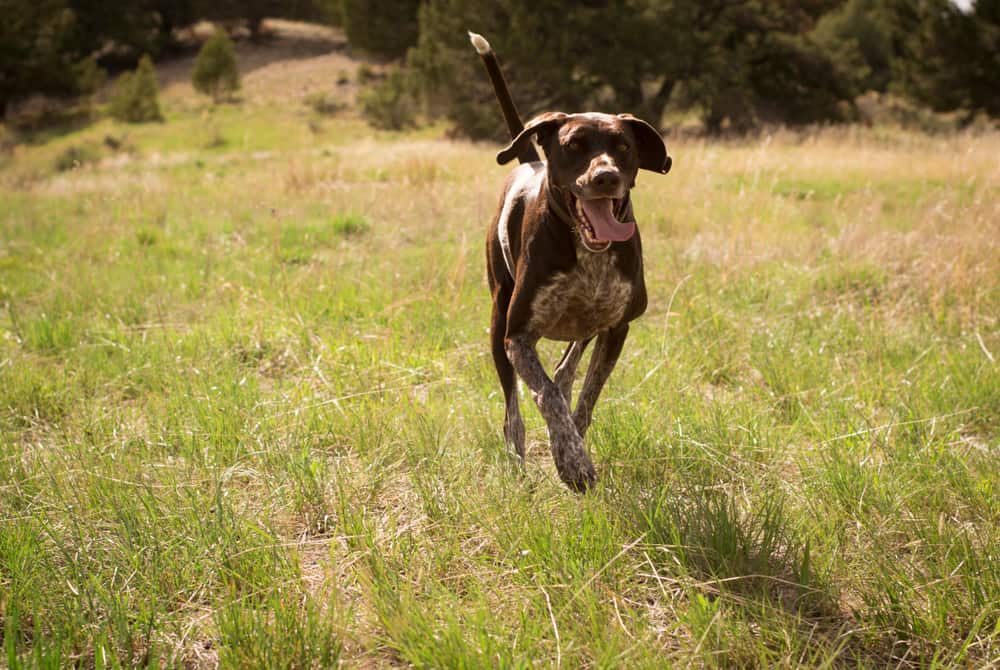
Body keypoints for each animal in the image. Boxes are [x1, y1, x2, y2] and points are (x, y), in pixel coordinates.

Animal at [470, 31, 672, 494]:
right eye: (573, 146)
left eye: (623, 147)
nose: (606, 177)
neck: (587, 252)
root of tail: (528, 160)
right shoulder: (518, 338)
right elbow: (545, 395)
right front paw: (571, 461)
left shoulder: (616, 327)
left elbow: (585, 397)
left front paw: (575, 449)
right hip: (497, 319)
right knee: (514, 410)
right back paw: (517, 462)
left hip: (584, 328)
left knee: (565, 371)